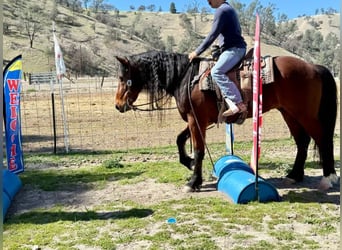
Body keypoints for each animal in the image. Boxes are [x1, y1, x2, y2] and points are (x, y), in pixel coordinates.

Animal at [113, 50, 338, 191]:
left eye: (123, 78)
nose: (117, 105)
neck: (186, 78)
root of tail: (313, 67)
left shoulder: (196, 120)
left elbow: (199, 149)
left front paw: (193, 181)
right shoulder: (196, 120)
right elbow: (180, 140)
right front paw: (189, 163)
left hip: (305, 114)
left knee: (323, 139)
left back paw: (328, 178)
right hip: (289, 113)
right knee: (303, 141)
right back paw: (295, 175)